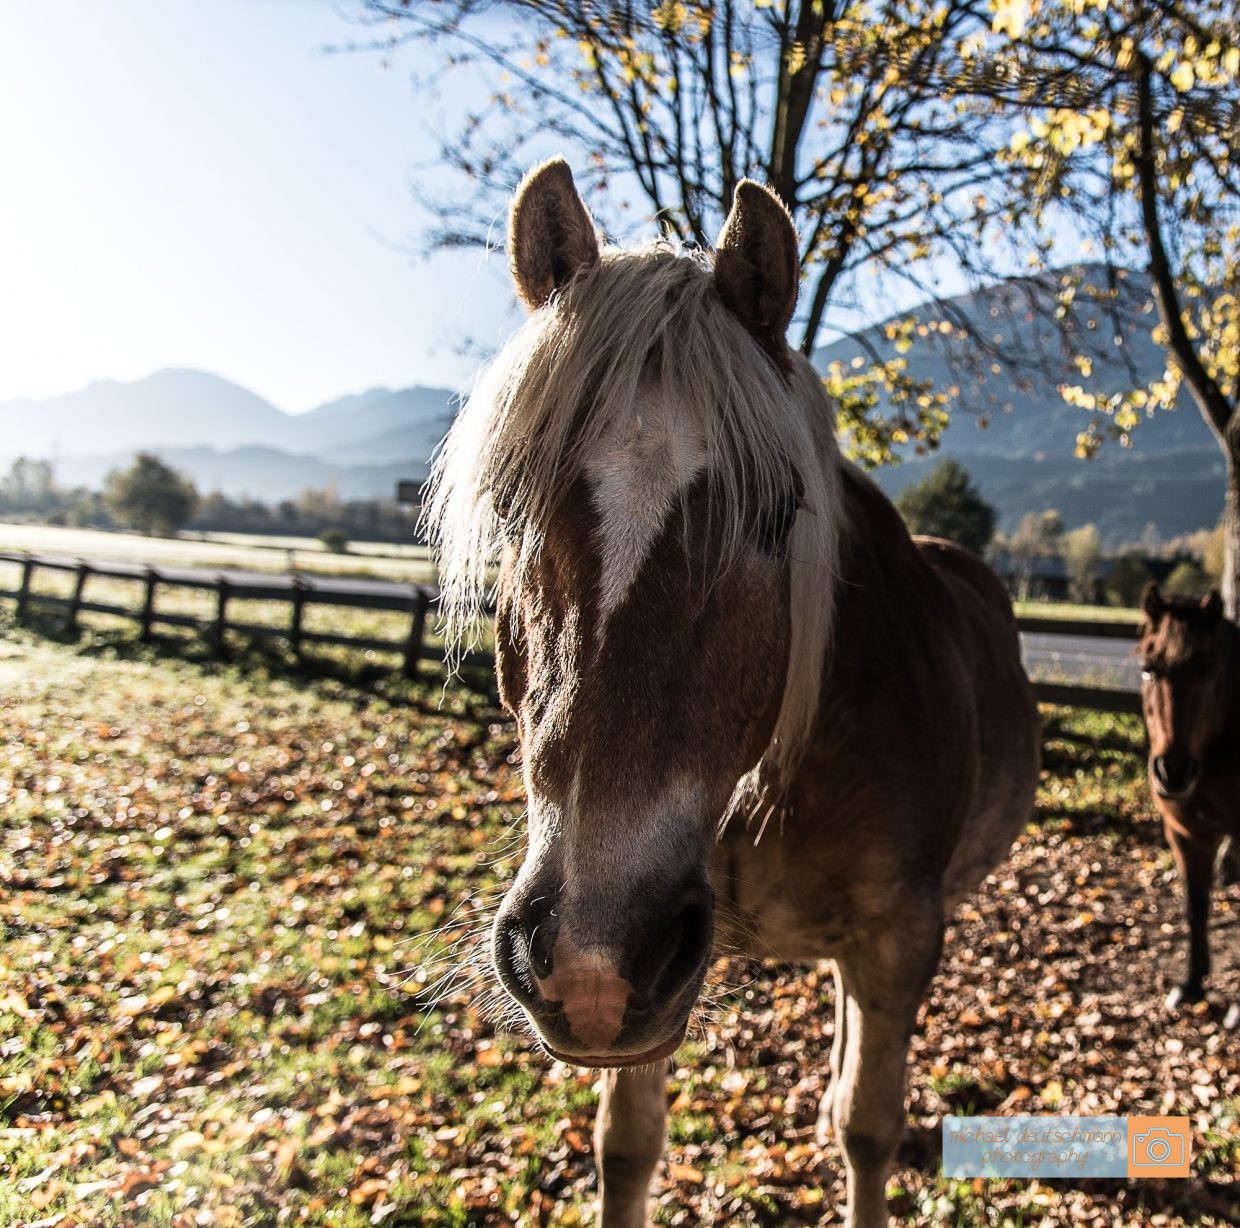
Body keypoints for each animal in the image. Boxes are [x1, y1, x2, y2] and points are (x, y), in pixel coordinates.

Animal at [424, 158, 1036, 1225]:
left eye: (778, 514)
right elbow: (627, 1146)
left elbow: (867, 1130)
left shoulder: (902, 936)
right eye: (509, 510)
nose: (586, 955)